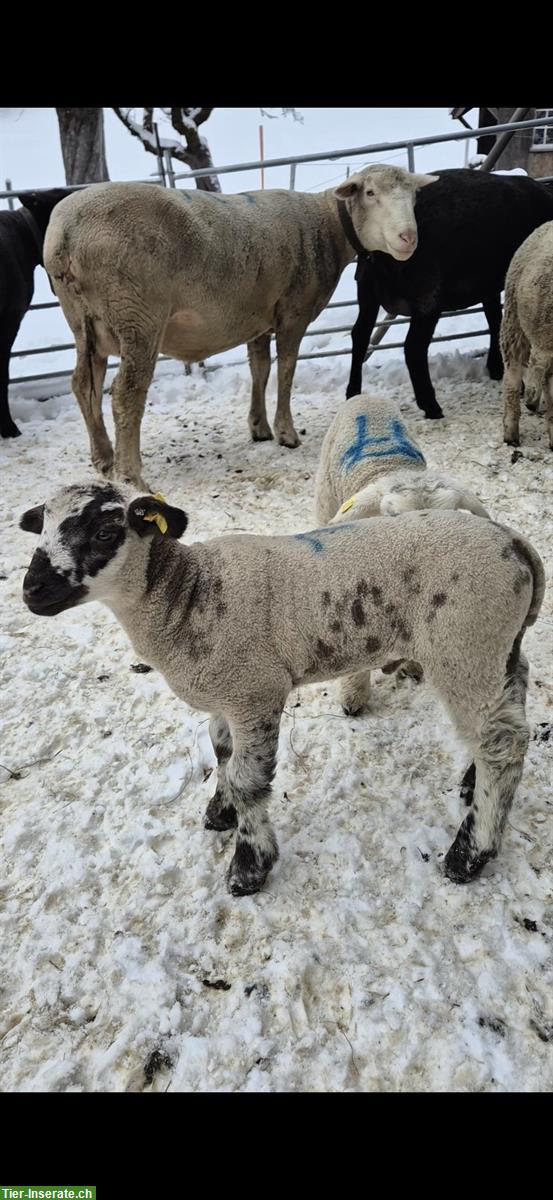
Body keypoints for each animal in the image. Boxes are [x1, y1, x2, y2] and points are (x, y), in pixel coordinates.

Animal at [43, 164, 436, 487]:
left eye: (414, 196)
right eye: (370, 193)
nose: (408, 238)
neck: (328, 226)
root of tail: (65, 235)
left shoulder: (259, 317)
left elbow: (259, 369)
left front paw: (259, 427)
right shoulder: (294, 311)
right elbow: (287, 369)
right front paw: (286, 433)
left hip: (83, 322)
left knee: (85, 386)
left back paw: (104, 459)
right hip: (137, 316)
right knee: (126, 394)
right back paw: (131, 477)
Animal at [345, 165, 551, 417]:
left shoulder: (488, 283)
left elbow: (495, 321)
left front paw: (497, 369)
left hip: (368, 292)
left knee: (360, 334)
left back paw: (353, 392)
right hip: (425, 295)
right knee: (412, 347)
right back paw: (431, 405)